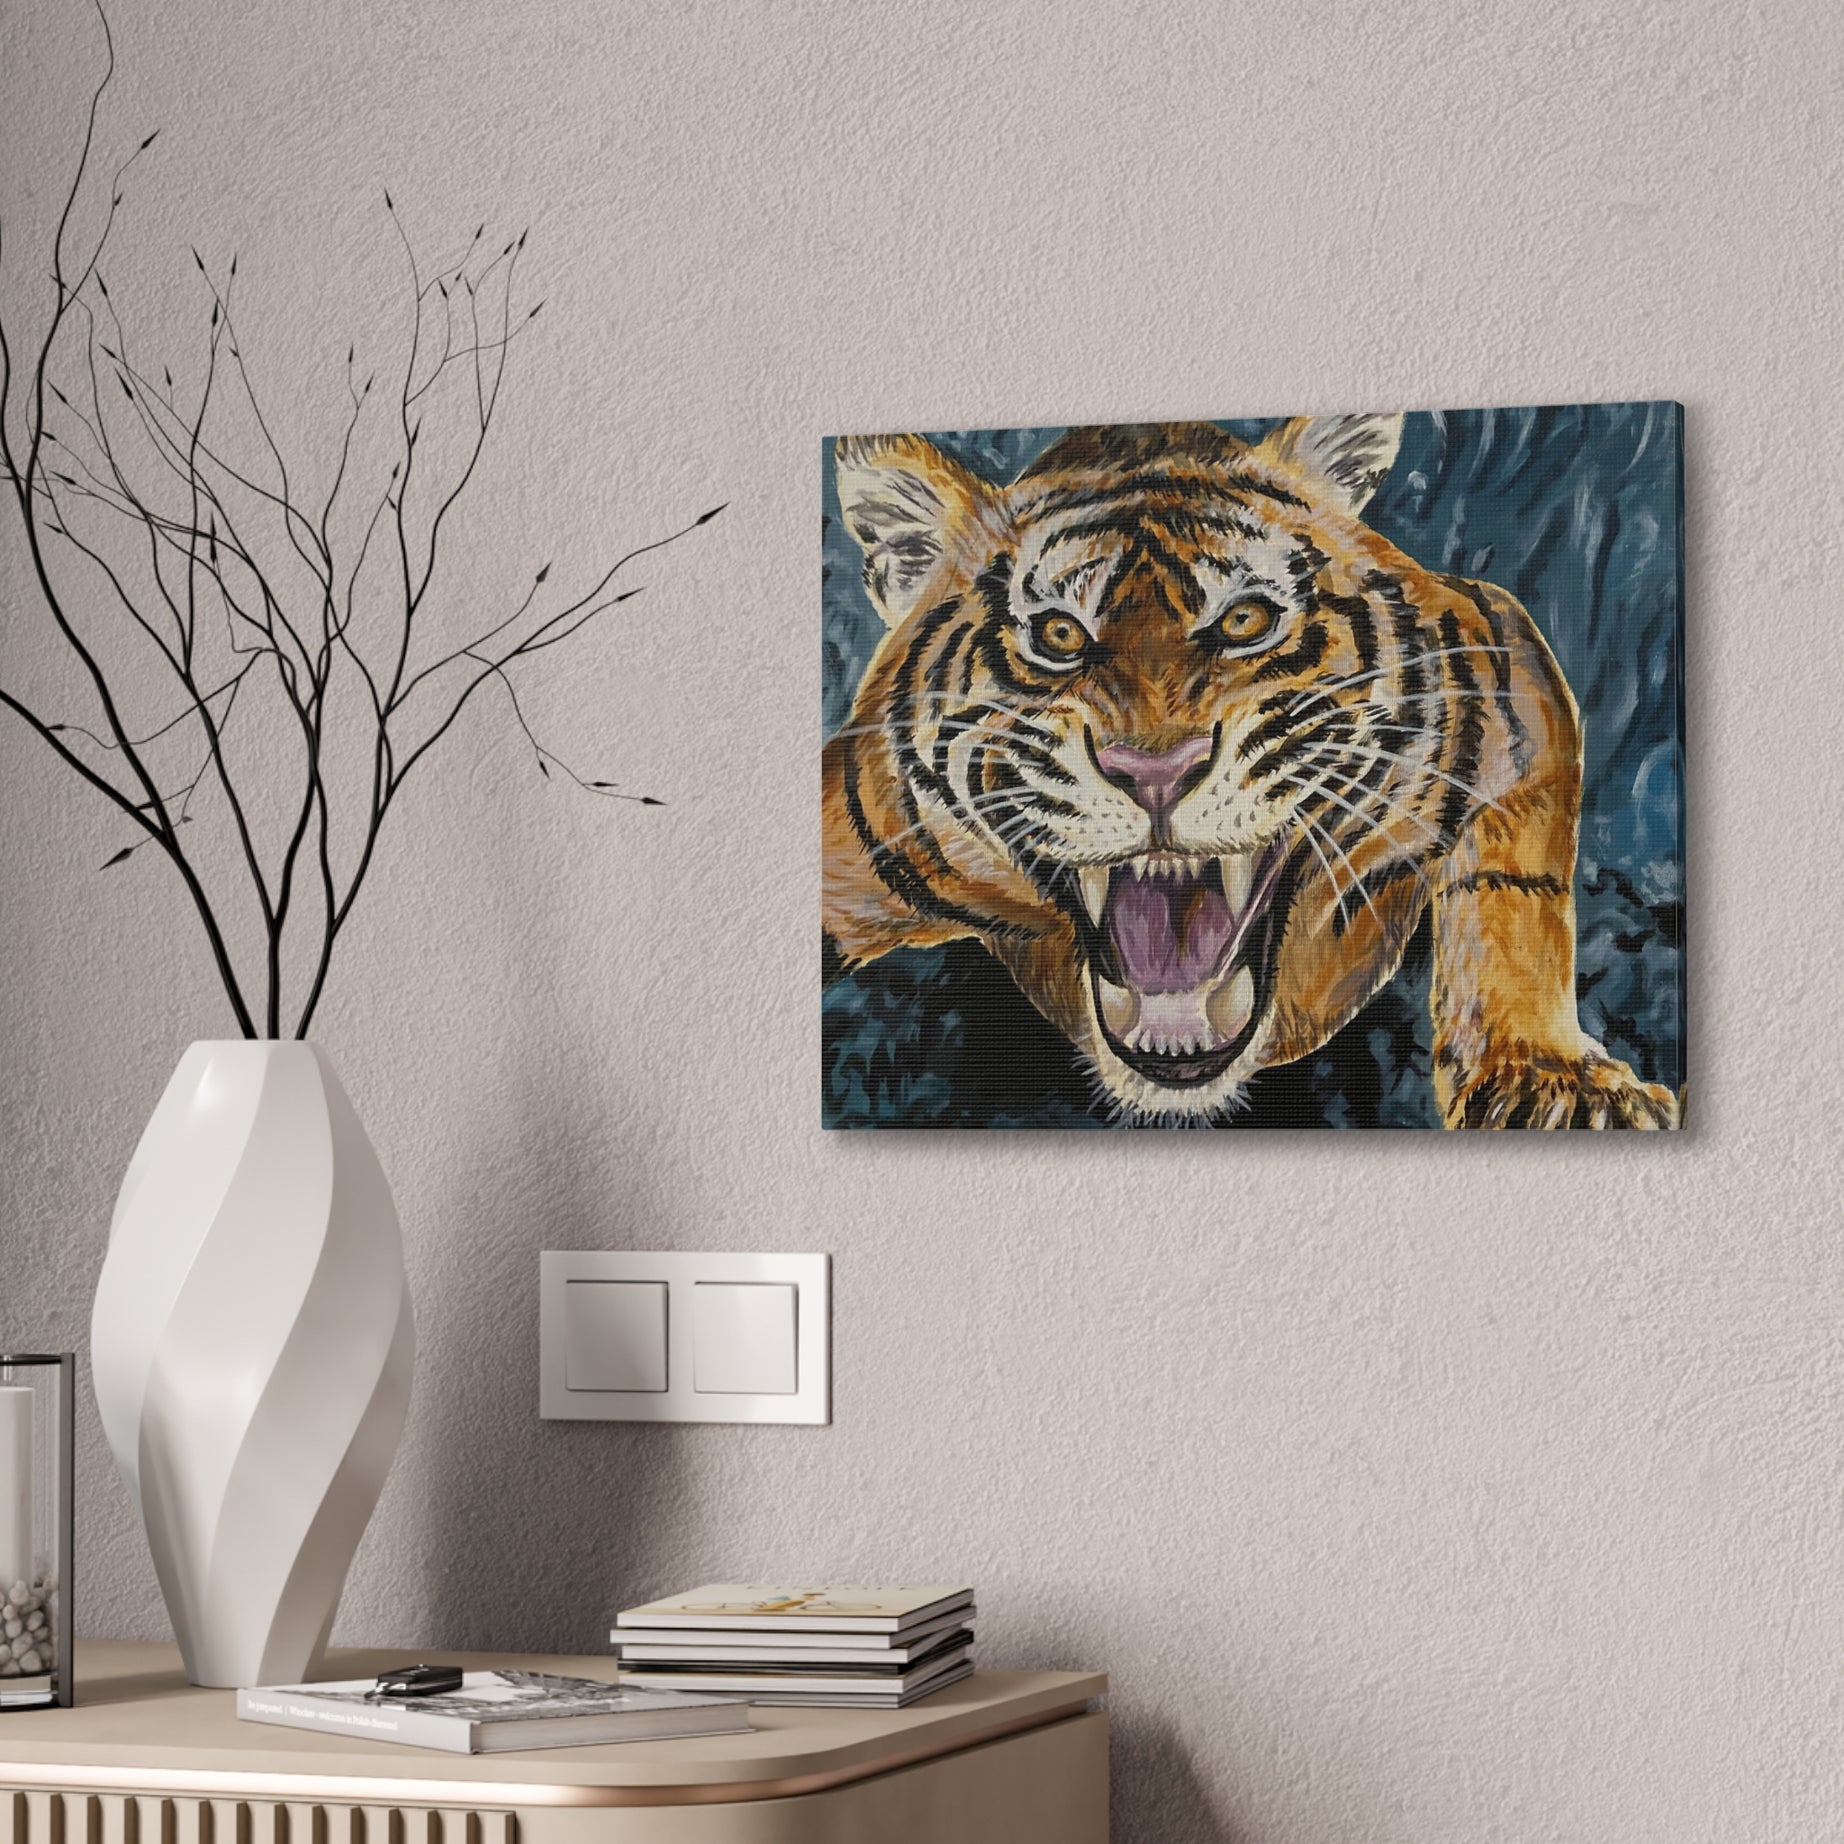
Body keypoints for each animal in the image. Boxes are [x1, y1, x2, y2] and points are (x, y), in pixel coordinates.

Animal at [821, 417, 1681, 1129]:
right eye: (1059, 635)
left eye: (1244, 620)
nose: (1155, 771)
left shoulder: (1509, 662)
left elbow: (1515, 894)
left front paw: (1557, 1084)